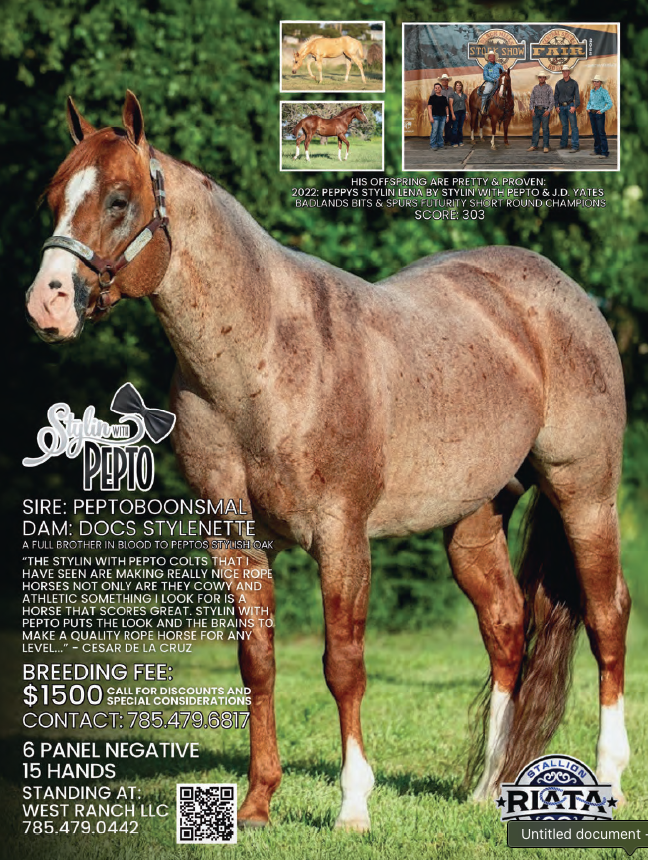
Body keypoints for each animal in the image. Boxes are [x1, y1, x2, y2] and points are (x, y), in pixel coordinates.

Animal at [26, 92, 631, 832]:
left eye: (118, 198)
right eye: (53, 197)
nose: (47, 302)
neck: (264, 357)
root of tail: (561, 293)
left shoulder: (341, 536)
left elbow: (343, 665)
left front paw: (353, 805)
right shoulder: (235, 542)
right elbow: (257, 662)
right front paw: (257, 803)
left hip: (586, 493)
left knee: (607, 617)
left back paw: (608, 779)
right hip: (472, 524)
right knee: (507, 627)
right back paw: (489, 788)